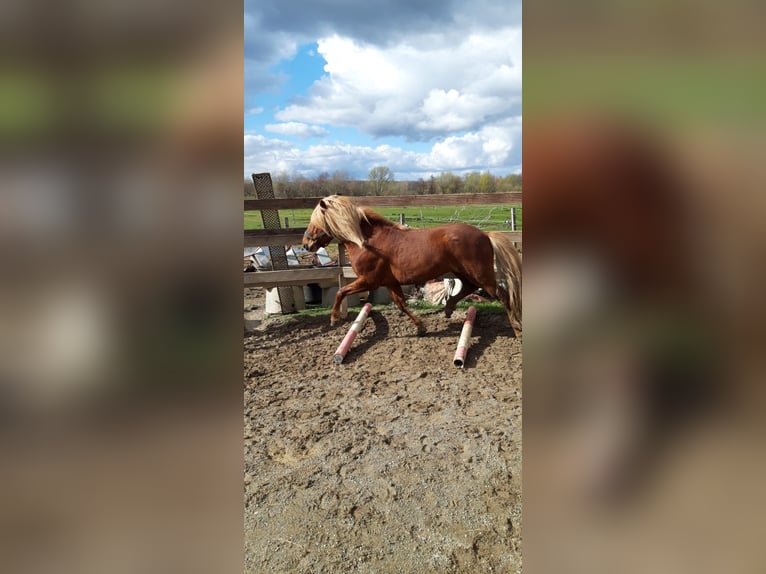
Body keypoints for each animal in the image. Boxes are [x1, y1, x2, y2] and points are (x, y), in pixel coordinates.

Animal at [304, 196, 524, 336]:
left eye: (315, 221)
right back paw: (448, 309)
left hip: (480, 274)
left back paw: (517, 329)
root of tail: (485, 235)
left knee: (503, 295)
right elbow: (401, 304)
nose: (306, 244)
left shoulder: (369, 281)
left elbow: (340, 291)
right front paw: (421, 328)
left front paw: (334, 319)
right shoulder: (390, 282)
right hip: (462, 272)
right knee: (469, 288)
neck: (367, 242)